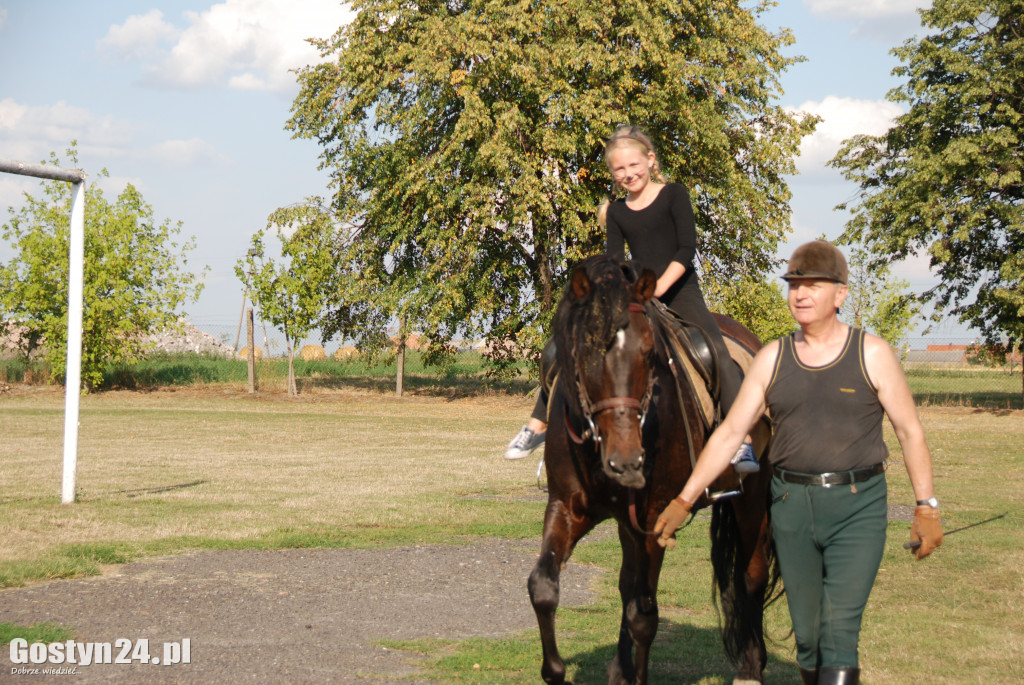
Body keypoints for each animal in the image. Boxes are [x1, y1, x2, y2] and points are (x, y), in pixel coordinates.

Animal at [532, 255, 778, 683]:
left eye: (649, 354)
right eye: (584, 349)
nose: (627, 462)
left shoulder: (656, 519)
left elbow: (644, 617)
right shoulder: (567, 508)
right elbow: (544, 587)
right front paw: (556, 671)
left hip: (749, 498)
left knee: (751, 574)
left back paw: (751, 665)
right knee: (627, 584)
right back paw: (620, 667)